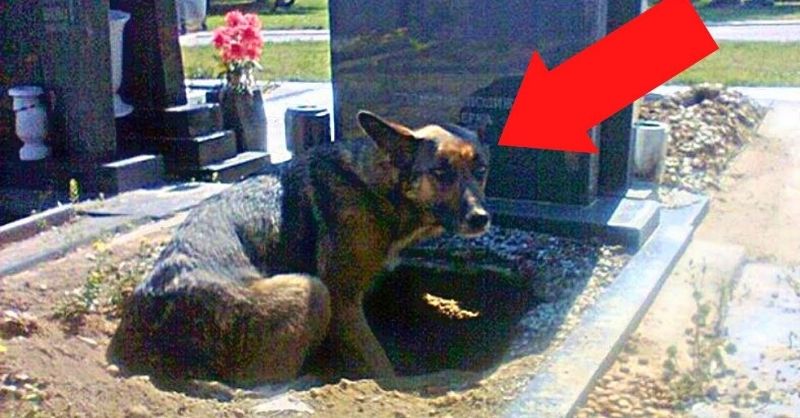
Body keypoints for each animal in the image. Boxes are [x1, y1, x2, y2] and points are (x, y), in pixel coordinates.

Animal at [108, 111, 490, 386]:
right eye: (441, 173)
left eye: (481, 170)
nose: (481, 219)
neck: (375, 187)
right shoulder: (342, 299)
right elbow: (380, 364)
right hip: (309, 289)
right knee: (260, 381)